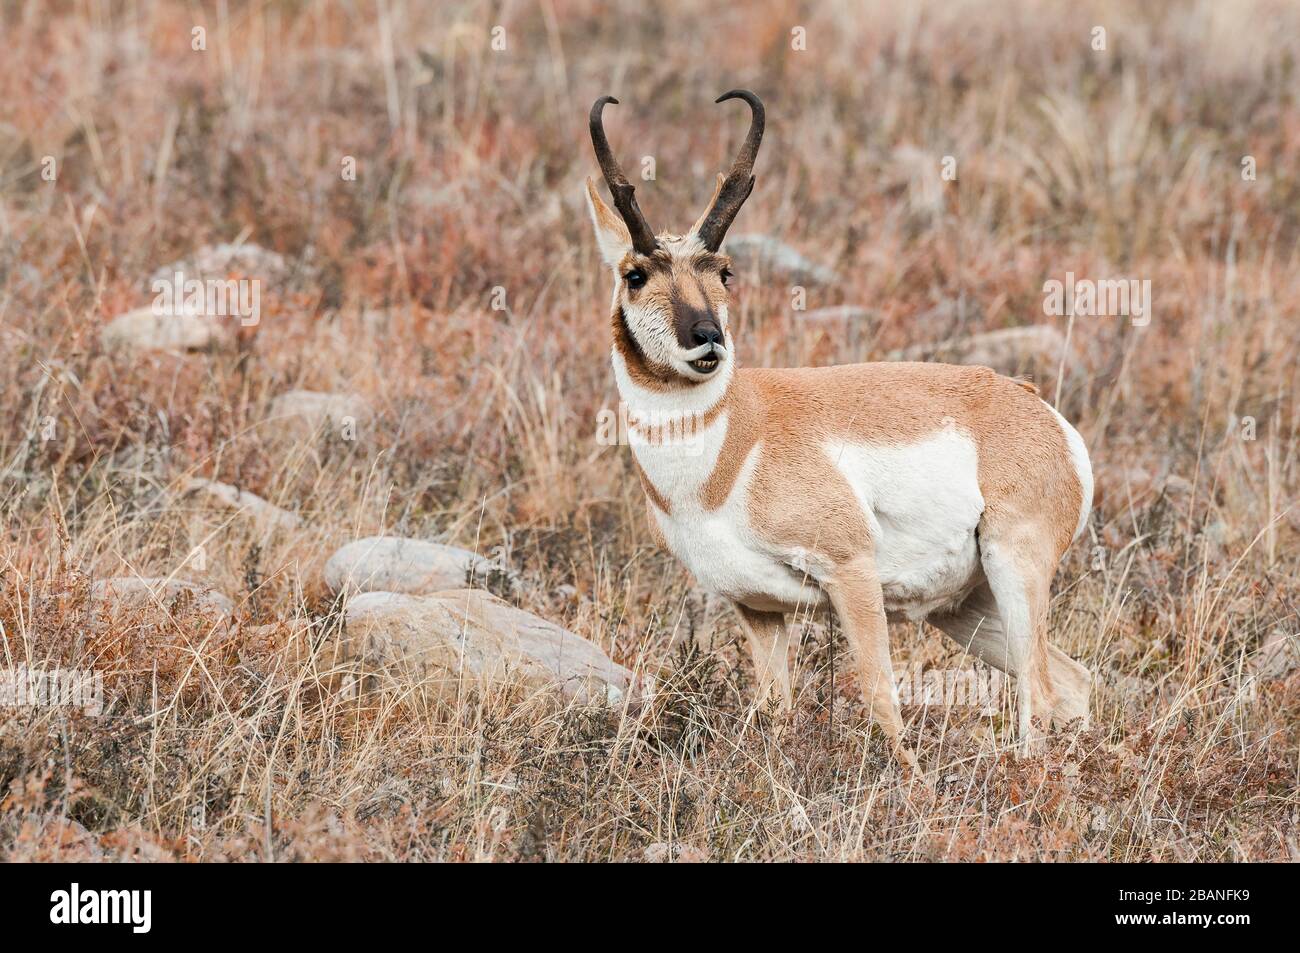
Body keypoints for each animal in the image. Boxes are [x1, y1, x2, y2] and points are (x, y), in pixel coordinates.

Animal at [585, 90, 1093, 765]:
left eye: (724, 271)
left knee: (1039, 692)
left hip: (1015, 568)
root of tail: (1035, 408)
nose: (707, 339)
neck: (733, 447)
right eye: (635, 274)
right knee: (1072, 681)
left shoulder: (850, 573)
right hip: (964, 606)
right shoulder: (757, 609)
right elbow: (773, 712)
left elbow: (882, 701)